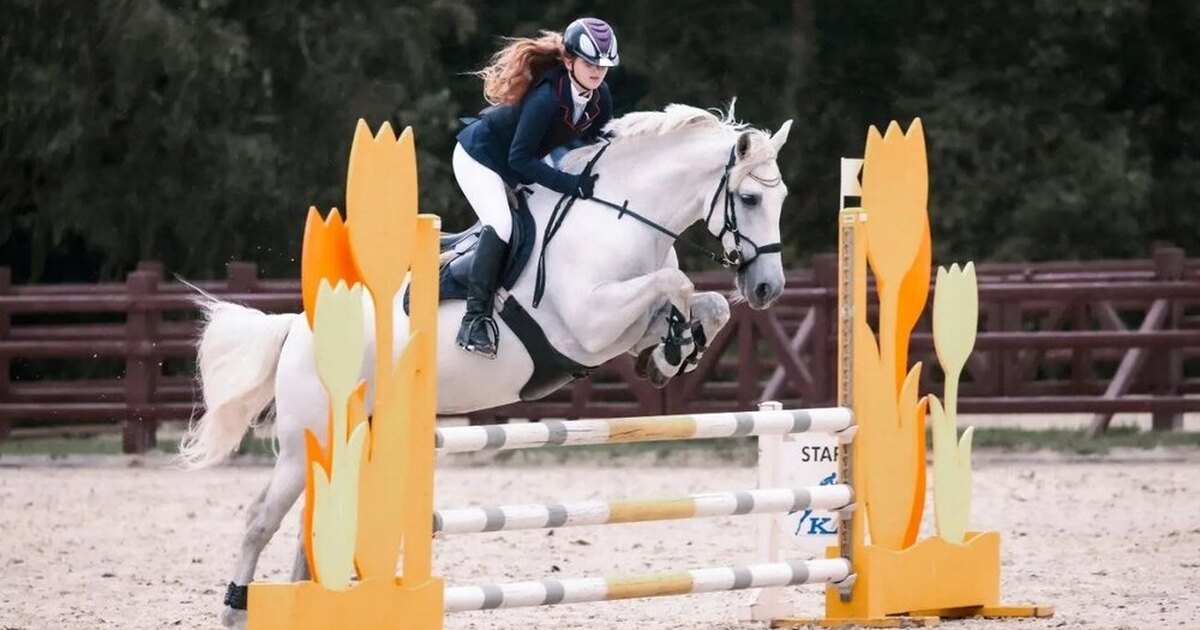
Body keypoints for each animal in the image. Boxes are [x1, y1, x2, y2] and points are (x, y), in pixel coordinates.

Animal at [179, 103, 794, 629]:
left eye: (781, 197)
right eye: (750, 199)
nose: (768, 289)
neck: (619, 218)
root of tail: (300, 328)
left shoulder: (616, 329)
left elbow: (702, 302)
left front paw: (671, 354)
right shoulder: (591, 324)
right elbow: (678, 283)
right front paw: (673, 345)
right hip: (310, 435)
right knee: (261, 517)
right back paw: (234, 610)